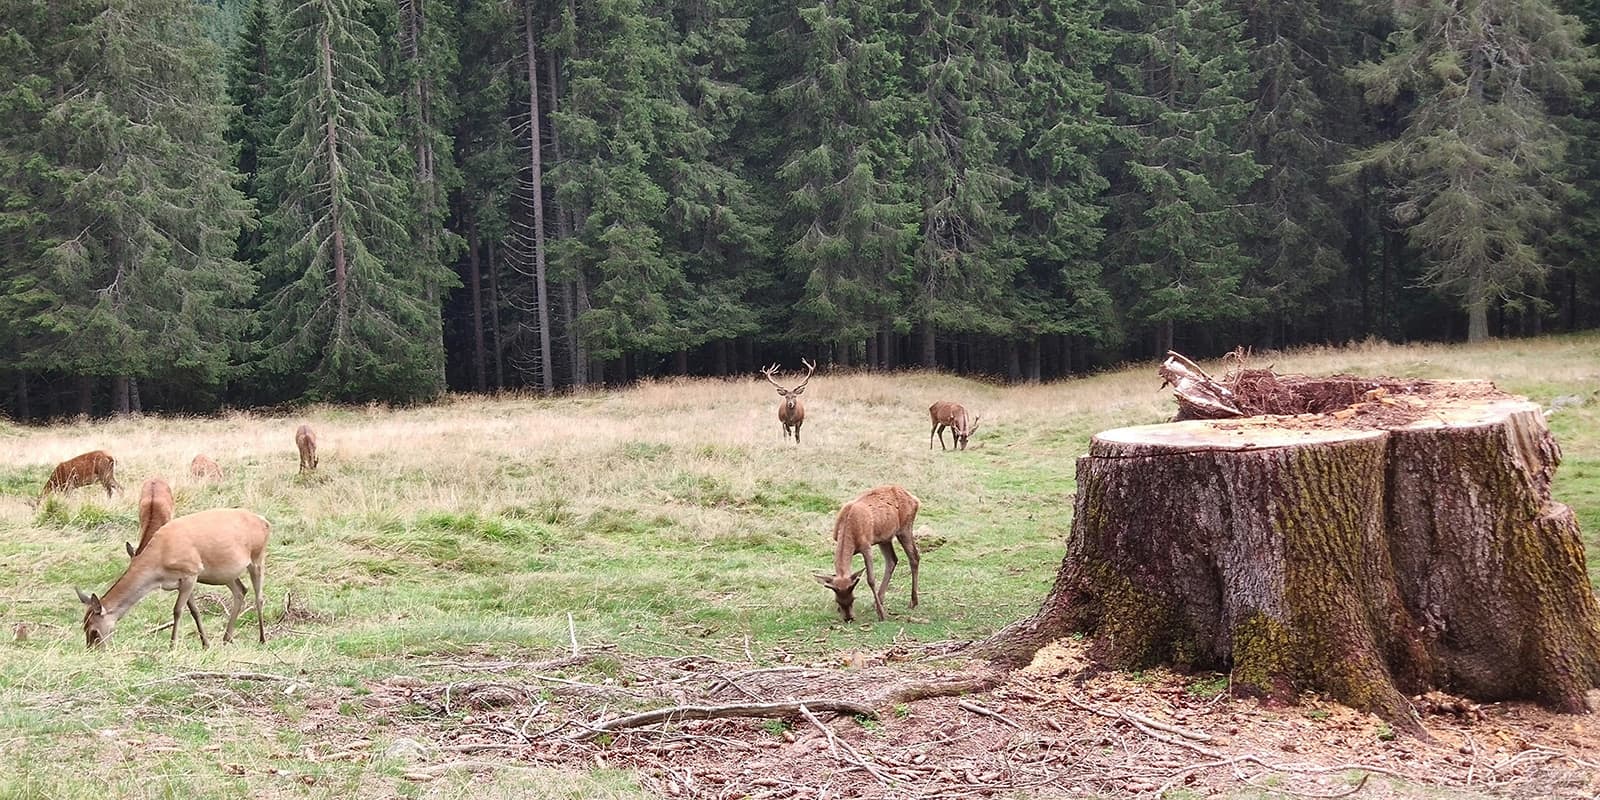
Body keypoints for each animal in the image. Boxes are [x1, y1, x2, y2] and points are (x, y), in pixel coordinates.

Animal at [77, 508, 268, 646]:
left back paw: (262, 638)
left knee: (259, 597)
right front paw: (205, 643)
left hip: (257, 557)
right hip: (226, 573)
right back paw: (227, 638)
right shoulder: (183, 580)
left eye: (94, 631)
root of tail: (265, 522)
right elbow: (194, 611)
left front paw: (172, 645)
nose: (93, 650)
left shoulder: (191, 571)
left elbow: (177, 610)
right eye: (84, 627)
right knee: (241, 590)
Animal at [812, 483, 928, 620]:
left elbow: (870, 579)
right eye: (837, 601)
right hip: (885, 538)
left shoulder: (866, 545)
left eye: (853, 599)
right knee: (892, 560)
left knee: (914, 557)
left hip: (905, 528)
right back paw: (879, 601)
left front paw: (882, 614)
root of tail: (915, 499)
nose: (849, 618)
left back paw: (913, 602)